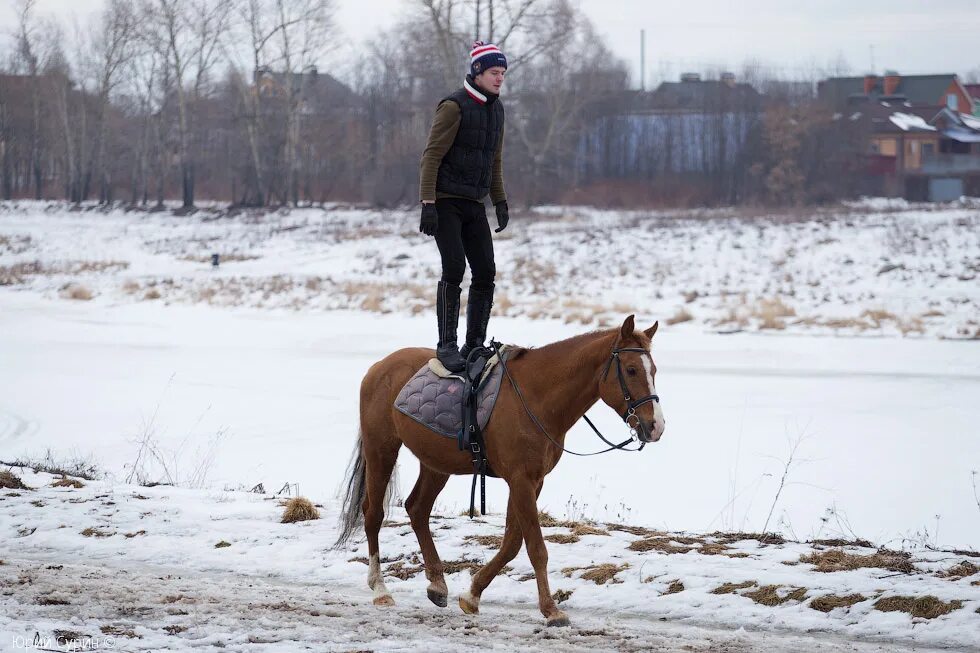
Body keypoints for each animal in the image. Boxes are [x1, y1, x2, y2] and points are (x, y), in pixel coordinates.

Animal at [336, 316, 668, 628]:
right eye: (631, 370)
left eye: (653, 370)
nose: (655, 427)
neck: (536, 396)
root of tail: (379, 367)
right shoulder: (520, 480)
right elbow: (535, 547)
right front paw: (551, 610)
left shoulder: (532, 481)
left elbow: (511, 543)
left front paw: (472, 596)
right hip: (381, 449)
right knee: (373, 514)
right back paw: (380, 590)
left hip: (435, 463)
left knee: (417, 508)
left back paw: (437, 585)